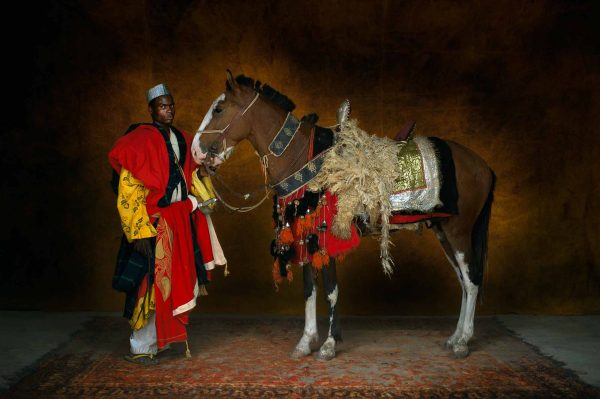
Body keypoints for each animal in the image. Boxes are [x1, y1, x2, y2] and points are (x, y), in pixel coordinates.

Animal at [193, 70, 496, 360]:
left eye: (219, 109)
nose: (196, 150)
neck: (303, 158)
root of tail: (482, 166)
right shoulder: (306, 235)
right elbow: (309, 289)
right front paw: (306, 342)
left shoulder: (327, 237)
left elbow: (330, 290)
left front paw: (329, 344)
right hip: (444, 231)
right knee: (463, 282)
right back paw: (455, 337)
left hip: (459, 231)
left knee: (472, 280)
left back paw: (463, 341)